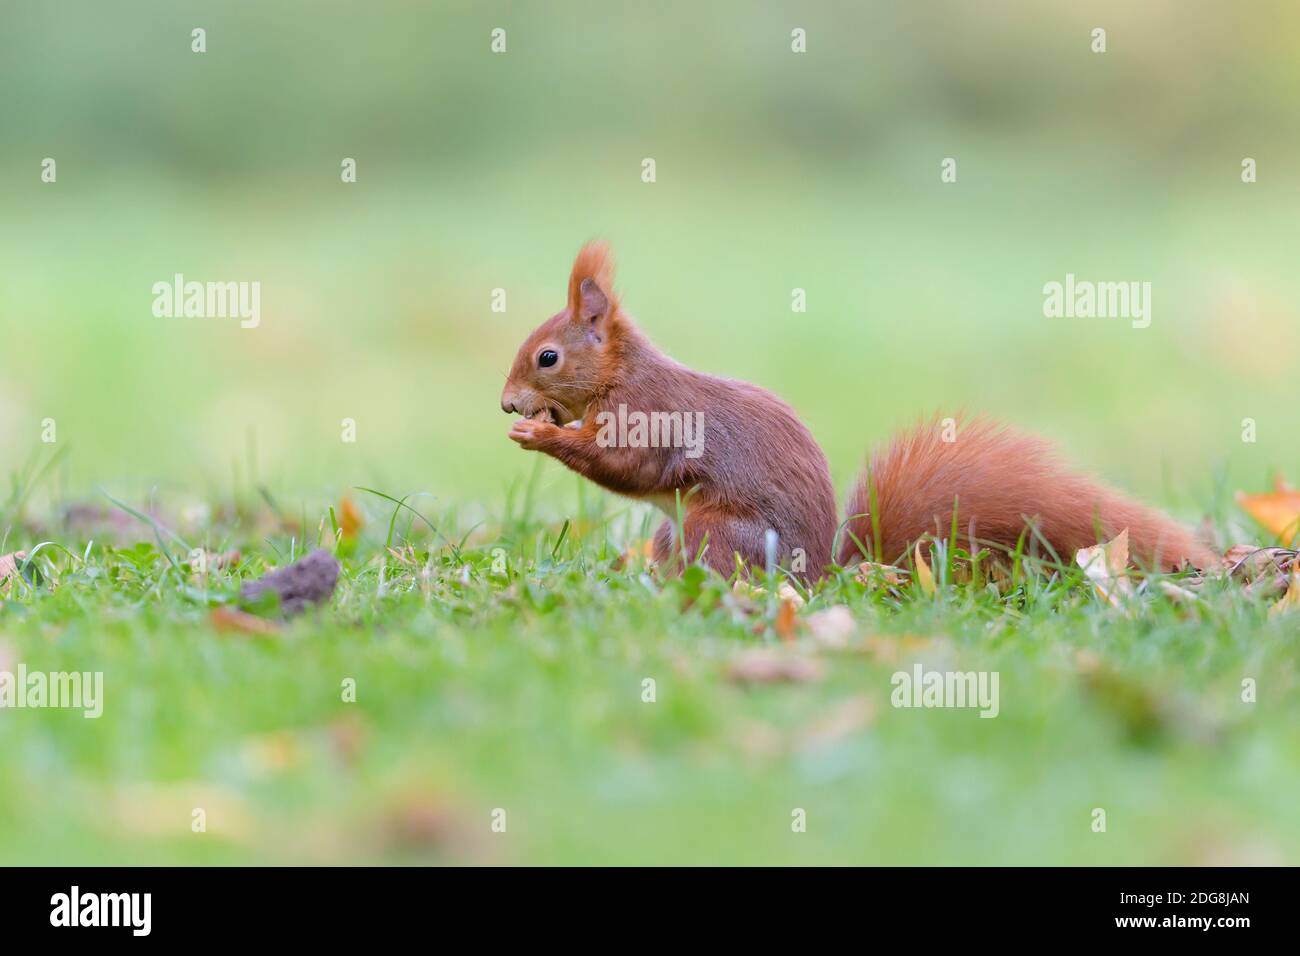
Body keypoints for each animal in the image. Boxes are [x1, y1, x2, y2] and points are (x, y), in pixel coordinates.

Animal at [502, 242, 1217, 581]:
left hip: (715, 529)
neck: (620, 375)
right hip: (673, 533)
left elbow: (628, 466)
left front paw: (537, 433)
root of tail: (821, 576)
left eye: (547, 358)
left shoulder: (650, 415)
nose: (507, 401)